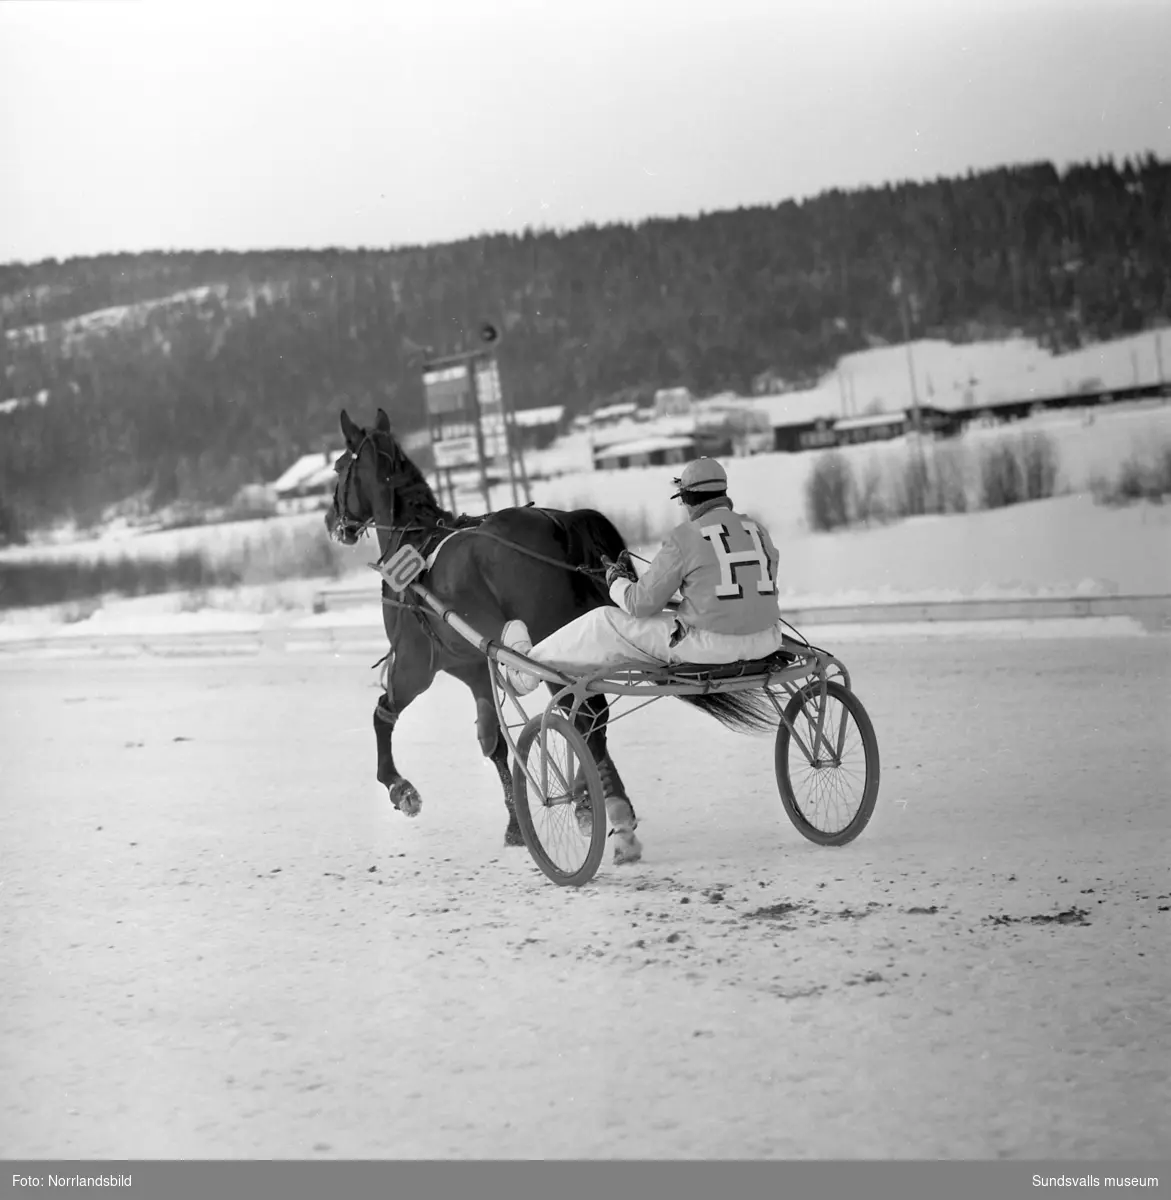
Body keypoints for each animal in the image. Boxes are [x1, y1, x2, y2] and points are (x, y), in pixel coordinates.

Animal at [323, 408, 772, 859]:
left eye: (339, 467)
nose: (332, 522)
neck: (416, 544)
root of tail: (559, 521)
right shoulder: (477, 666)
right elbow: (493, 741)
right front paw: (515, 825)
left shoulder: (417, 663)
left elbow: (383, 713)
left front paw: (399, 788)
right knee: (592, 715)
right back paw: (606, 805)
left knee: (584, 713)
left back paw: (597, 806)